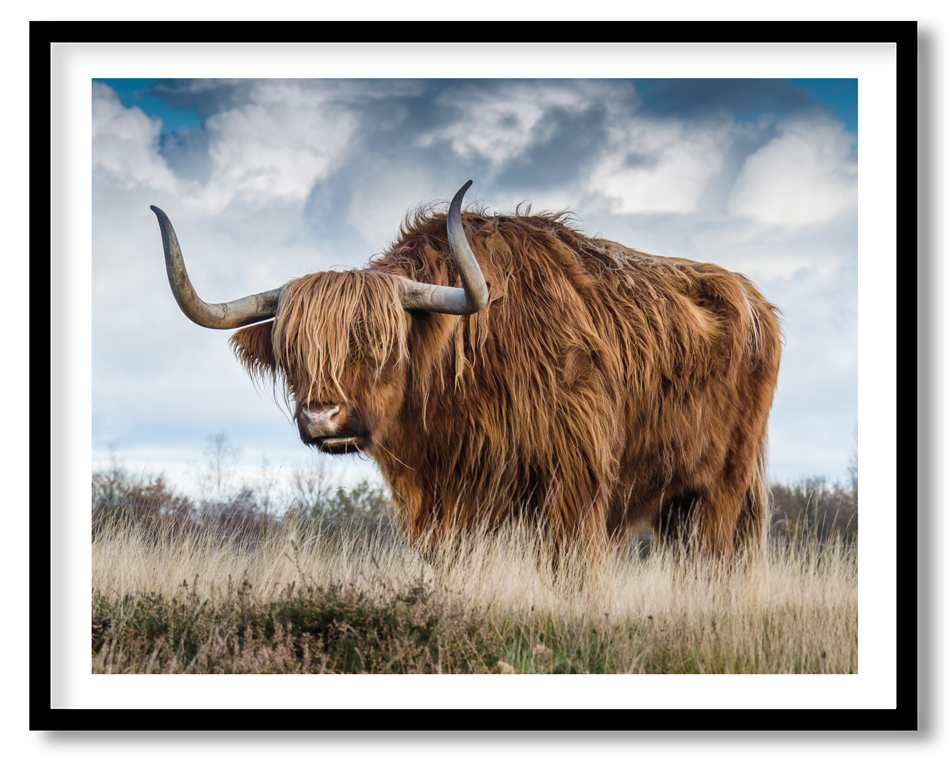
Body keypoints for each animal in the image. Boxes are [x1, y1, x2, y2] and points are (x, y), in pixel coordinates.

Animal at [151, 181, 781, 567]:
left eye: (381, 344)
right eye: (292, 352)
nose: (322, 417)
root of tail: (754, 299)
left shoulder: (574, 483)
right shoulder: (443, 501)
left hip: (722, 487)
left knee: (714, 561)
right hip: (678, 501)